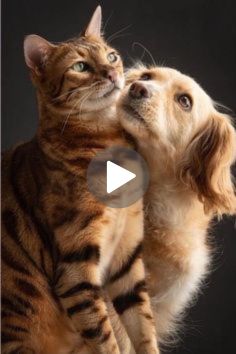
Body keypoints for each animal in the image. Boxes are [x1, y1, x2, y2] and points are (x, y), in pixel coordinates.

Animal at [1, 6, 158, 354]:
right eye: (81, 67)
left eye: (112, 57)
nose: (112, 74)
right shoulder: (75, 271)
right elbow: (105, 337)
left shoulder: (128, 256)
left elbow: (143, 324)